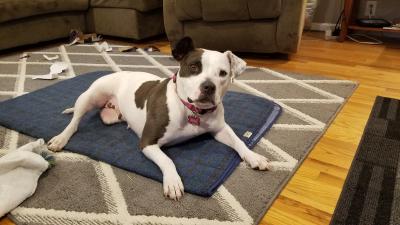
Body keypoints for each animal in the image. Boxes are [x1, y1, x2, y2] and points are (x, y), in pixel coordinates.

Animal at [48, 37, 270, 200]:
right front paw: (173, 182)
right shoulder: (148, 142)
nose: (209, 86)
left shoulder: (220, 129)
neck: (191, 110)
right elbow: (167, 160)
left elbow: (239, 141)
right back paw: (60, 138)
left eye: (223, 73)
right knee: (74, 121)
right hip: (90, 97)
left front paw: (253, 156)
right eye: (194, 67)